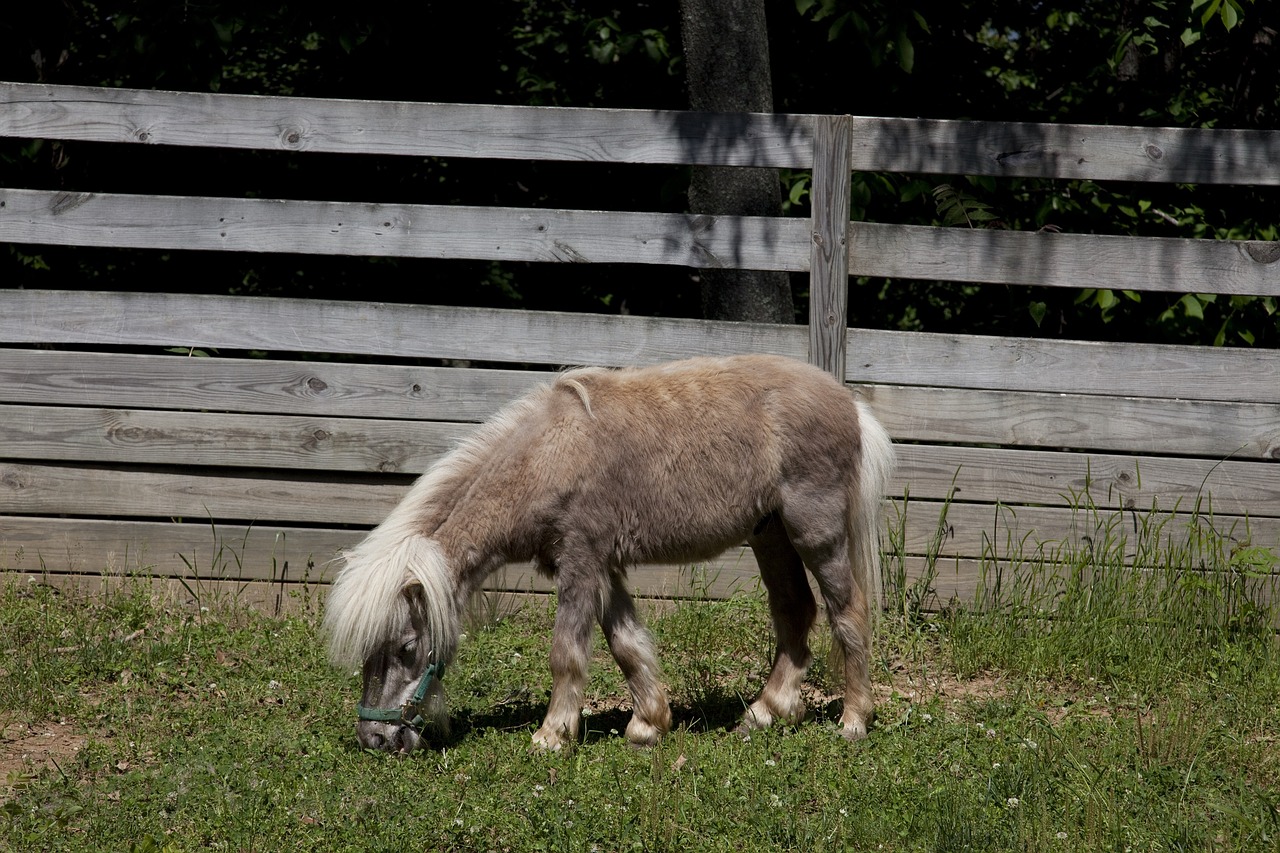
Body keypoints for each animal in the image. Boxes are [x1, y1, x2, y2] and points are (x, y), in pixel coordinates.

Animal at [325, 350, 896, 753]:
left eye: (405, 648)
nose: (375, 740)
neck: (548, 455)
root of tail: (850, 404)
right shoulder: (604, 569)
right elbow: (627, 645)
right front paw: (648, 724)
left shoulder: (581, 564)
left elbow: (567, 652)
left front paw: (552, 735)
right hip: (769, 535)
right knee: (795, 611)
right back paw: (766, 711)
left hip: (816, 534)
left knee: (848, 612)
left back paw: (853, 720)